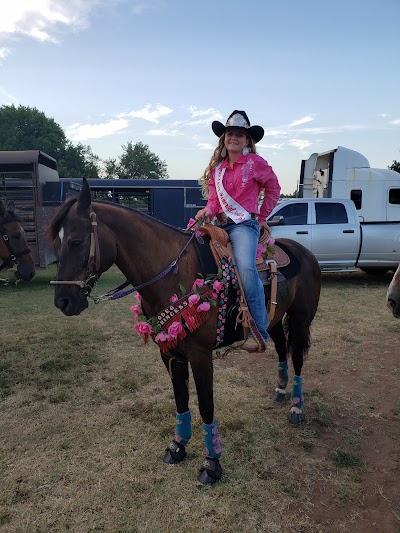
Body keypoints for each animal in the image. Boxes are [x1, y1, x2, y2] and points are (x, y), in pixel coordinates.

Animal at [48, 181, 320, 484]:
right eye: (56, 243)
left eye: (76, 241)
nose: (63, 301)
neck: (172, 273)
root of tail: (304, 252)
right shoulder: (170, 353)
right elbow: (180, 400)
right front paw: (178, 446)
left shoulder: (200, 356)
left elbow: (206, 404)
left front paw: (212, 463)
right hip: (274, 322)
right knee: (282, 349)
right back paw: (280, 391)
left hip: (300, 320)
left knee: (298, 357)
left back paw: (296, 406)